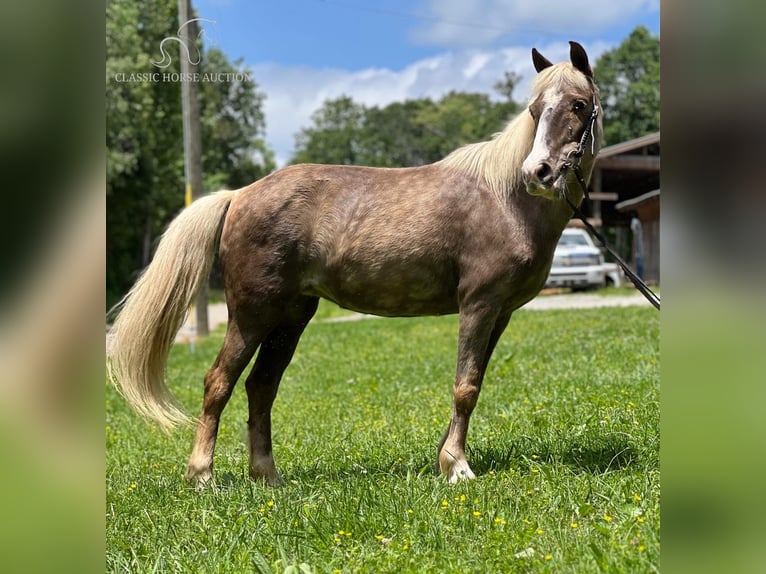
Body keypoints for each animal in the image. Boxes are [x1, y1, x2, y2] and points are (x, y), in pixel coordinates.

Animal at [108, 42, 604, 488]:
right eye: (535, 109)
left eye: (578, 105)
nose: (537, 173)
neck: (505, 200)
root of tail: (239, 195)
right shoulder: (479, 304)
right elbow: (465, 386)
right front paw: (459, 469)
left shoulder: (499, 313)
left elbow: (473, 381)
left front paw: (445, 459)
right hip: (252, 314)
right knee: (218, 382)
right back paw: (202, 475)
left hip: (290, 318)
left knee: (261, 387)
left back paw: (267, 476)